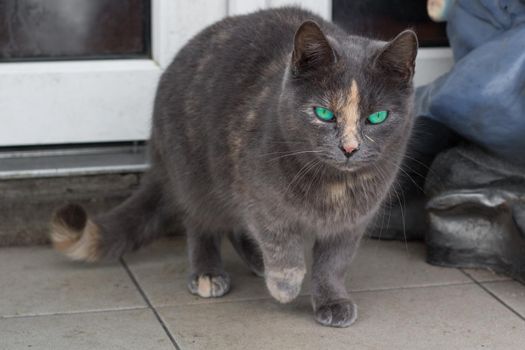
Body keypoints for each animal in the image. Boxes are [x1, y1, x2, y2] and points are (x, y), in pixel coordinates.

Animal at [50, 7, 418, 328]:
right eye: (324, 113)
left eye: (377, 117)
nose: (349, 148)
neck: (334, 187)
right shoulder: (259, 194)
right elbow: (280, 242)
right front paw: (285, 285)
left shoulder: (352, 221)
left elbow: (334, 263)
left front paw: (332, 301)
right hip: (196, 173)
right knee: (202, 221)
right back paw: (210, 272)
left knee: (236, 226)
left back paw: (256, 262)